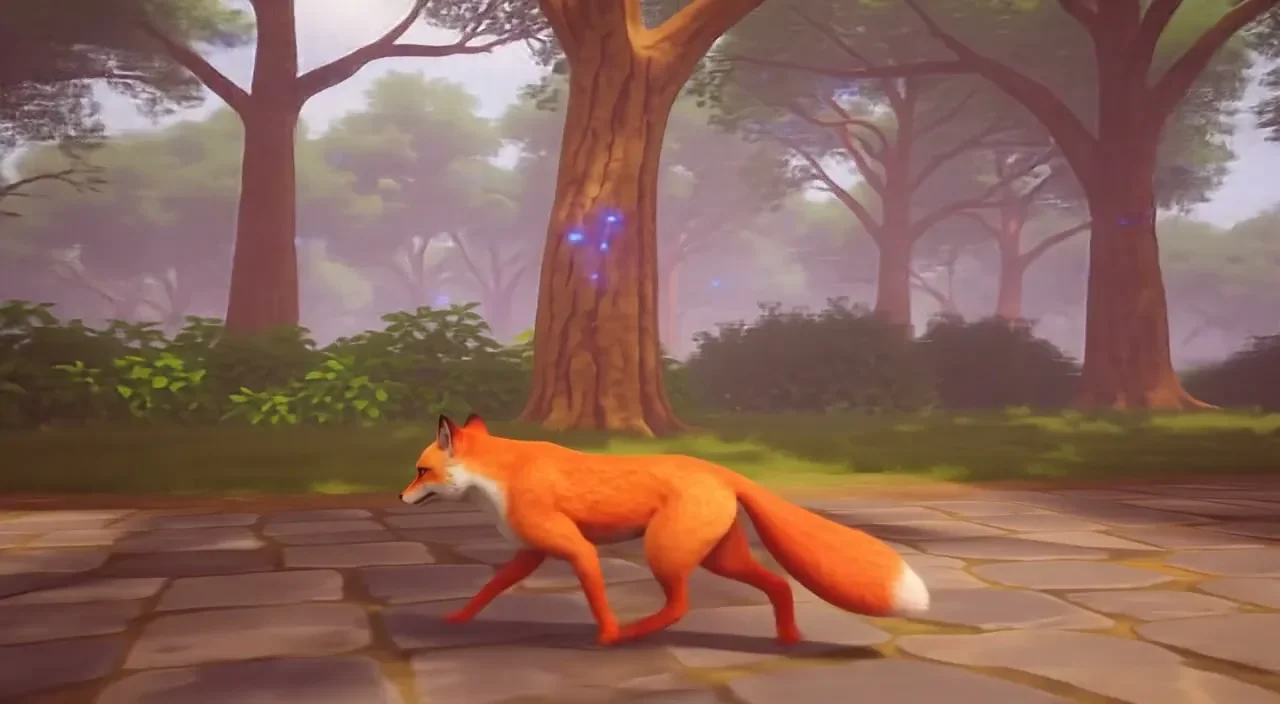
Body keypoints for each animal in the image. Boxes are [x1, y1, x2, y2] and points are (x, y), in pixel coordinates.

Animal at [399, 414, 929, 646]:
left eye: (421, 471)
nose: (400, 498)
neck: (505, 475)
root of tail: (720, 470)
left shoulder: (577, 549)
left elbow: (597, 598)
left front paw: (608, 633)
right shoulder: (532, 552)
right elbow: (489, 589)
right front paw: (458, 619)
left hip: (664, 553)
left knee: (680, 606)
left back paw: (632, 633)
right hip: (721, 557)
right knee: (778, 584)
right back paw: (789, 638)